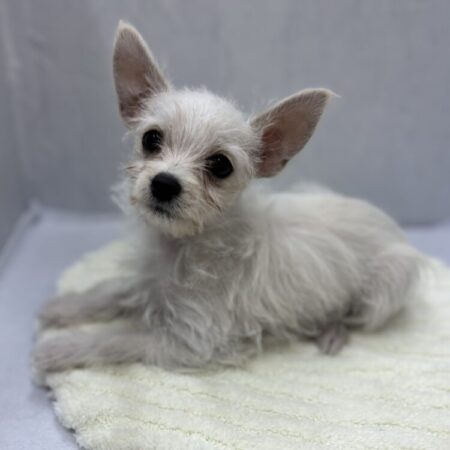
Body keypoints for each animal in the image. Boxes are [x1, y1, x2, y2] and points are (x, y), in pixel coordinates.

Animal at [33, 21, 424, 376]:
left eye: (221, 165)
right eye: (151, 139)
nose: (164, 184)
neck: (181, 245)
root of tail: (389, 223)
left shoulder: (190, 340)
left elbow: (117, 339)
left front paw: (61, 348)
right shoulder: (147, 280)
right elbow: (113, 289)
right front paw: (65, 307)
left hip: (385, 289)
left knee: (354, 317)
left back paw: (331, 332)